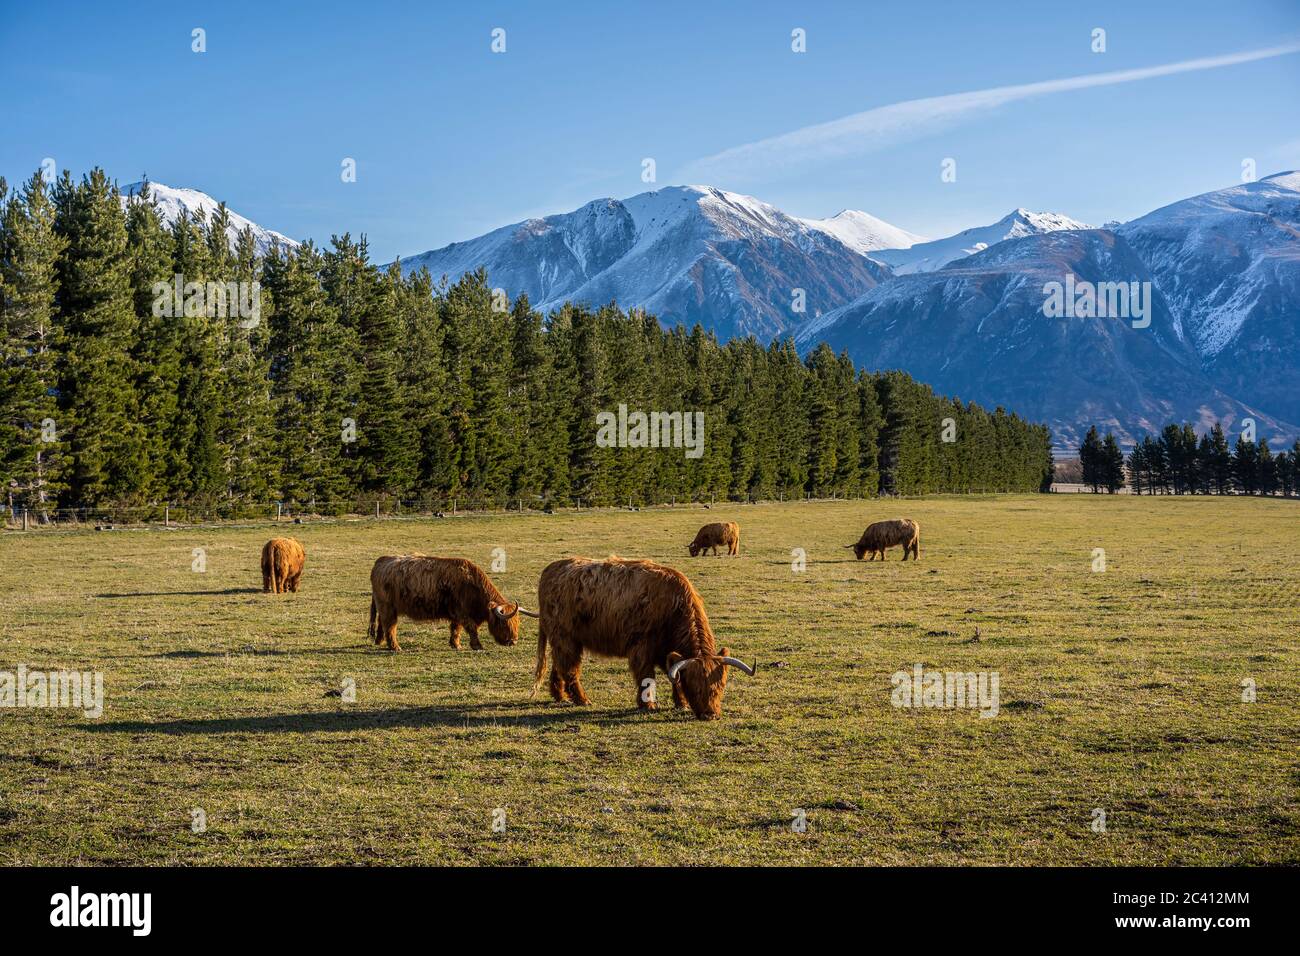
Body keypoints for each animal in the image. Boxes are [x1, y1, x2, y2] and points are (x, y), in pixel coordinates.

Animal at [367, 554, 537, 653]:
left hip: (387, 607)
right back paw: (395, 647)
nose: (513, 641)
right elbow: (471, 628)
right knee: (390, 626)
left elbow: (456, 629)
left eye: (517, 622)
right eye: (504, 623)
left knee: (382, 623)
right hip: (387, 607)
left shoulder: (456, 615)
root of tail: (381, 561)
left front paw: (456, 644)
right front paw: (477, 646)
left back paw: (380, 641)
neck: (472, 586)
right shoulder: (463, 613)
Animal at [533, 556, 756, 720]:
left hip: (566, 640)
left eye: (720, 686)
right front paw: (648, 705)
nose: (711, 715)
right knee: (570, 668)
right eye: (696, 687)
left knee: (559, 665)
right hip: (565, 638)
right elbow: (646, 675)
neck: (674, 606)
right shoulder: (642, 648)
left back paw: (560, 696)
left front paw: (681, 703)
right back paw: (582, 699)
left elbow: (674, 676)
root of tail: (551, 569)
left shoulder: (666, 651)